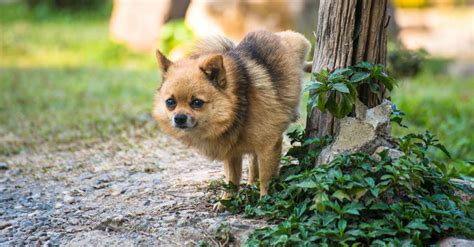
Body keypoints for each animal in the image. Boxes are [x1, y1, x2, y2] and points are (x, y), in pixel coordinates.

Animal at [154, 29, 312, 210]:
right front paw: (227, 200)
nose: (179, 118)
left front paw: (264, 201)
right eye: (170, 103)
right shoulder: (232, 153)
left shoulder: (269, 146)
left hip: (300, 42)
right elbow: (232, 179)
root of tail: (273, 34)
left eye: (197, 103)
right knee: (252, 161)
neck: (237, 109)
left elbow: (266, 179)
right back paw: (251, 183)